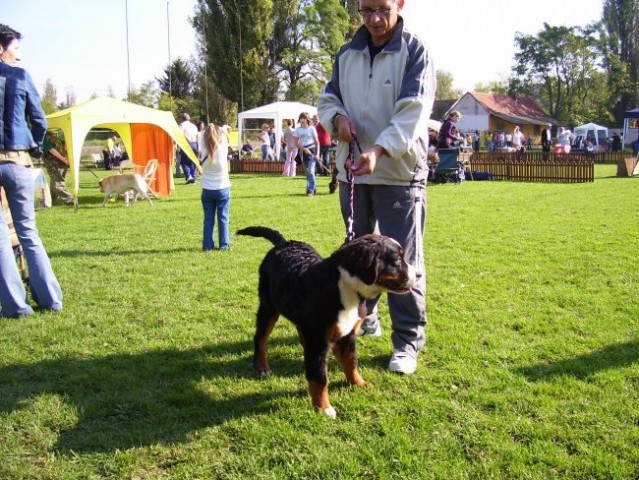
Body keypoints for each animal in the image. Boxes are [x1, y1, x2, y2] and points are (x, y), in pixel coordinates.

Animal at [238, 227, 418, 418]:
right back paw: (261, 367)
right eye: (397, 259)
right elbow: (319, 378)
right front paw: (323, 408)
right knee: (261, 338)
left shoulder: (347, 334)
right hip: (268, 307)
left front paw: (358, 383)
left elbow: (351, 362)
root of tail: (284, 243)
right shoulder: (318, 341)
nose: (419, 274)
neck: (344, 287)